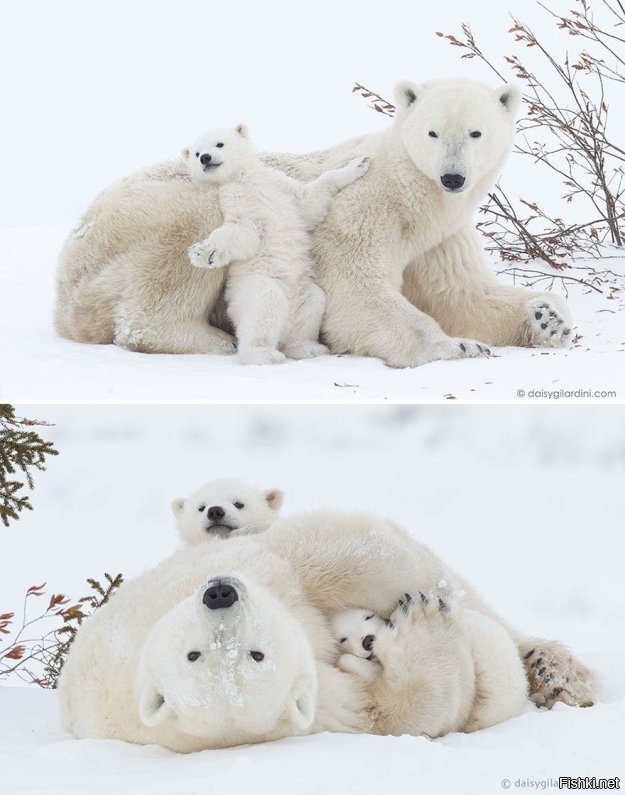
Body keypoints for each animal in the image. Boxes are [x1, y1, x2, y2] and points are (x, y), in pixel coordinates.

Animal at [58, 512, 596, 748]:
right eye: (196, 655)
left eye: (253, 652)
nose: (220, 593)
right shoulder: (319, 709)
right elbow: (396, 711)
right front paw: (421, 619)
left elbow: (334, 557)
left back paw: (556, 670)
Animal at [180, 124, 368, 364]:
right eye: (195, 153)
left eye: (219, 143)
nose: (205, 157)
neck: (244, 179)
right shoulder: (234, 198)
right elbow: (243, 232)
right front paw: (203, 253)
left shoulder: (278, 184)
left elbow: (308, 201)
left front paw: (359, 163)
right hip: (254, 286)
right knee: (263, 307)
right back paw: (263, 354)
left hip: (301, 292)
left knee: (311, 303)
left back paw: (307, 348)